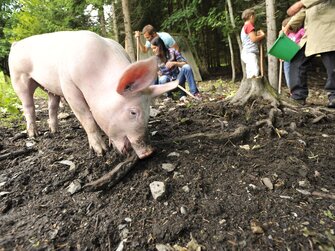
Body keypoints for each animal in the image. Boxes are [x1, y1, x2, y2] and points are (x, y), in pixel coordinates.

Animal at [9, 29, 180, 159]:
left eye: (148, 111)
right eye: (133, 112)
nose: (149, 152)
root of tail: (16, 44)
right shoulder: (69, 86)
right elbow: (87, 118)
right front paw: (101, 152)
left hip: (50, 89)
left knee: (52, 106)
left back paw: (54, 131)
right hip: (19, 78)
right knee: (28, 106)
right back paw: (34, 135)